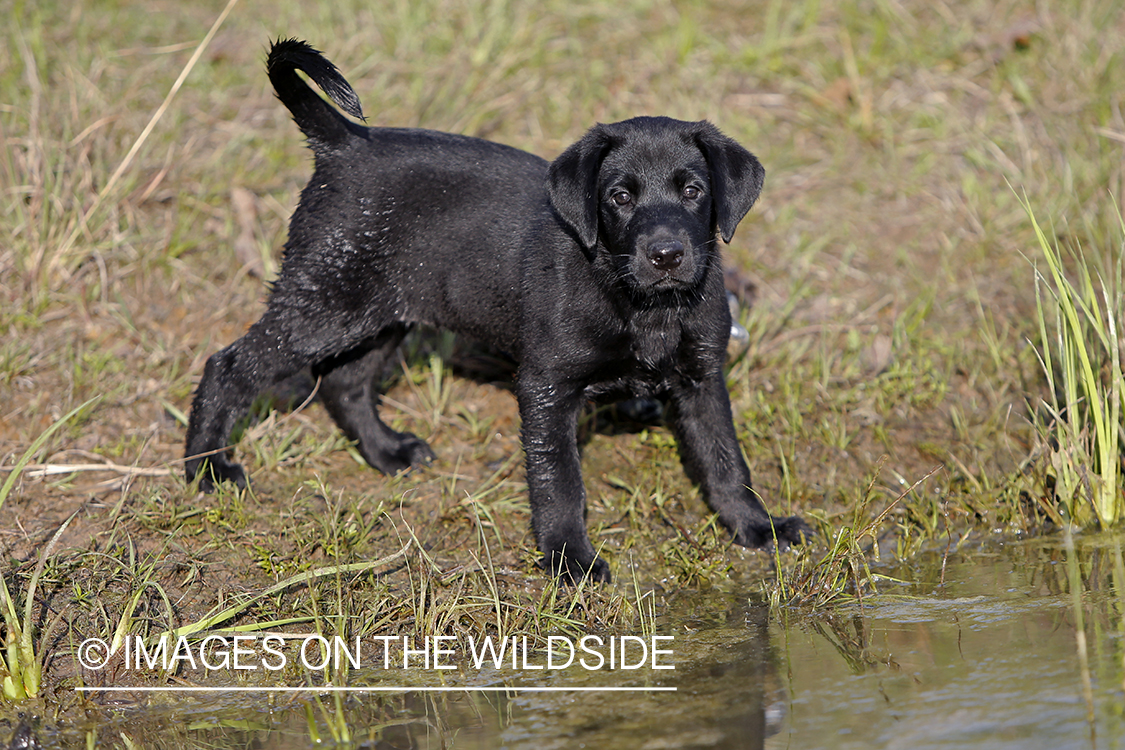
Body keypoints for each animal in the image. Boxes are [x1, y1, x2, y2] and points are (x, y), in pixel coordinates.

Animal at [189, 38, 814, 584]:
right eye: (619, 196)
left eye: (692, 191)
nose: (666, 255)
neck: (642, 305)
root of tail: (346, 144)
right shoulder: (545, 386)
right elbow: (558, 481)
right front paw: (570, 560)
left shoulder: (702, 379)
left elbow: (725, 461)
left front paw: (757, 527)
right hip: (325, 303)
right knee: (230, 365)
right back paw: (207, 468)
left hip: (381, 313)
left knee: (345, 383)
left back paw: (387, 452)